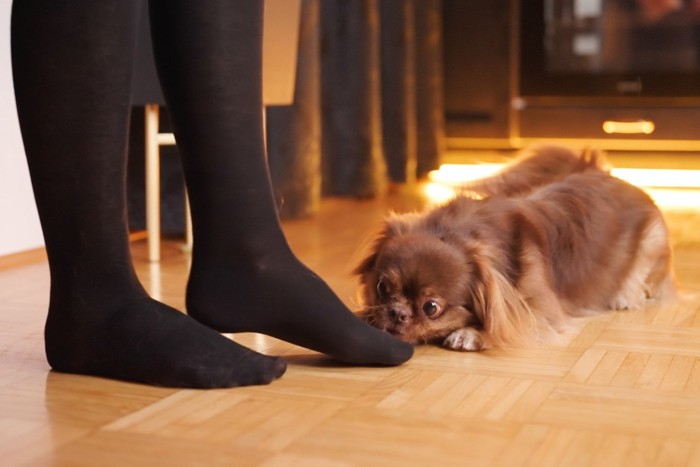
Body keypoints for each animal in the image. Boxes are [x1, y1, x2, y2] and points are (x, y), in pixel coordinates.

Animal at [356, 146, 680, 352]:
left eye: (431, 307)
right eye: (382, 288)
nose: (396, 312)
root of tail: (601, 171)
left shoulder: (541, 311)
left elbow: (507, 324)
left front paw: (471, 335)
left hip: (652, 243)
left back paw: (625, 295)